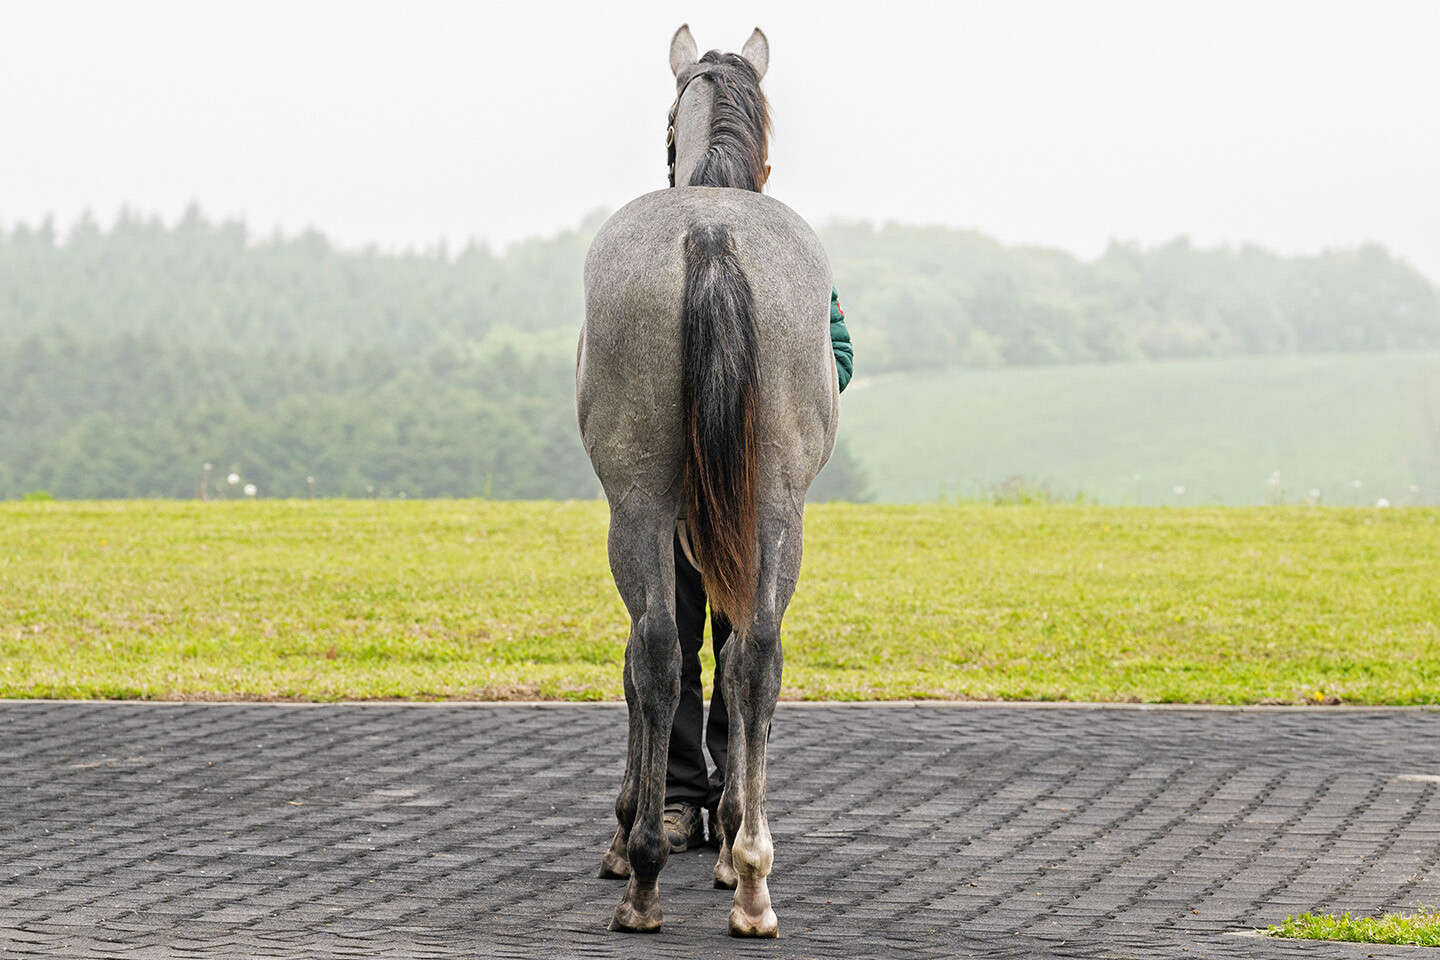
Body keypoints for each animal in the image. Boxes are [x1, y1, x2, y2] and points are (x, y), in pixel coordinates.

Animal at [575, 24, 838, 939]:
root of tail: (713, 234)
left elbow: (642, 663)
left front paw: (629, 833)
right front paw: (721, 838)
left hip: (639, 508)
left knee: (655, 650)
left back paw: (646, 876)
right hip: (775, 511)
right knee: (754, 654)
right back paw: (750, 875)